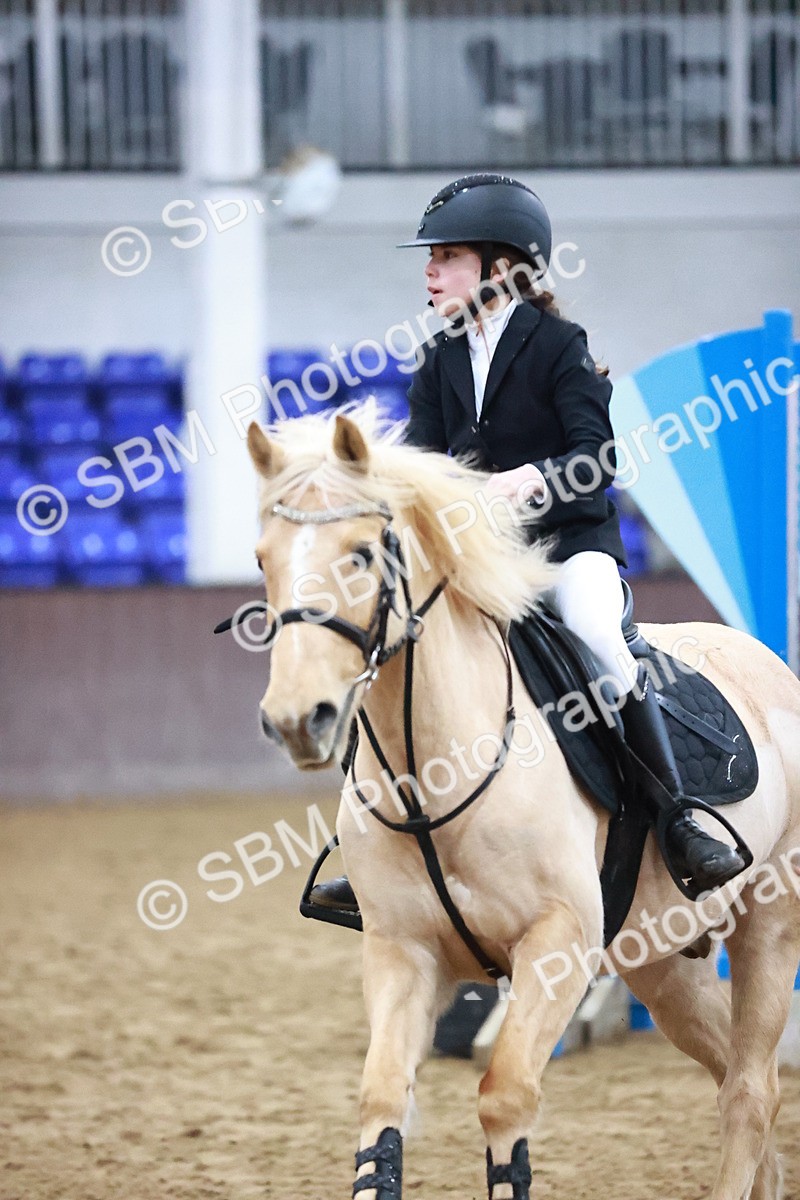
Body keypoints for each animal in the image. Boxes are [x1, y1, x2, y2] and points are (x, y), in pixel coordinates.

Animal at [243, 404, 800, 1200]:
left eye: (361, 554)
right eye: (264, 560)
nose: (297, 720)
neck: (433, 772)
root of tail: (761, 659)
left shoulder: (557, 944)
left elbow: (505, 1098)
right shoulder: (401, 950)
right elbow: (381, 1103)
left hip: (769, 919)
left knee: (751, 1090)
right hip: (662, 963)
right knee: (733, 1076)